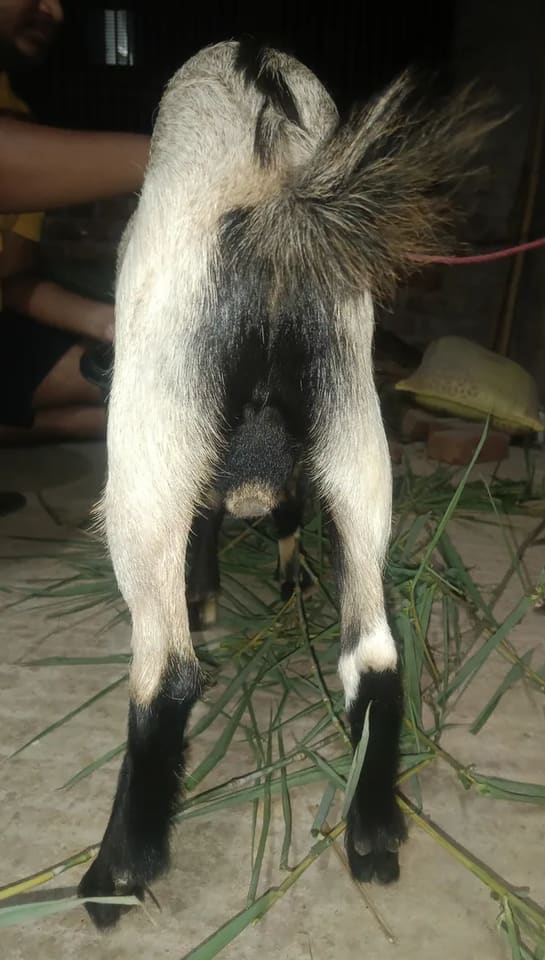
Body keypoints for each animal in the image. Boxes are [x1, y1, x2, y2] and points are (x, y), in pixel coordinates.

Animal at [78, 39, 492, 928]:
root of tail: (274, 197)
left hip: (150, 445)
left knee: (167, 669)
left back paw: (115, 876)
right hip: (354, 426)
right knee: (371, 649)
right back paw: (371, 836)